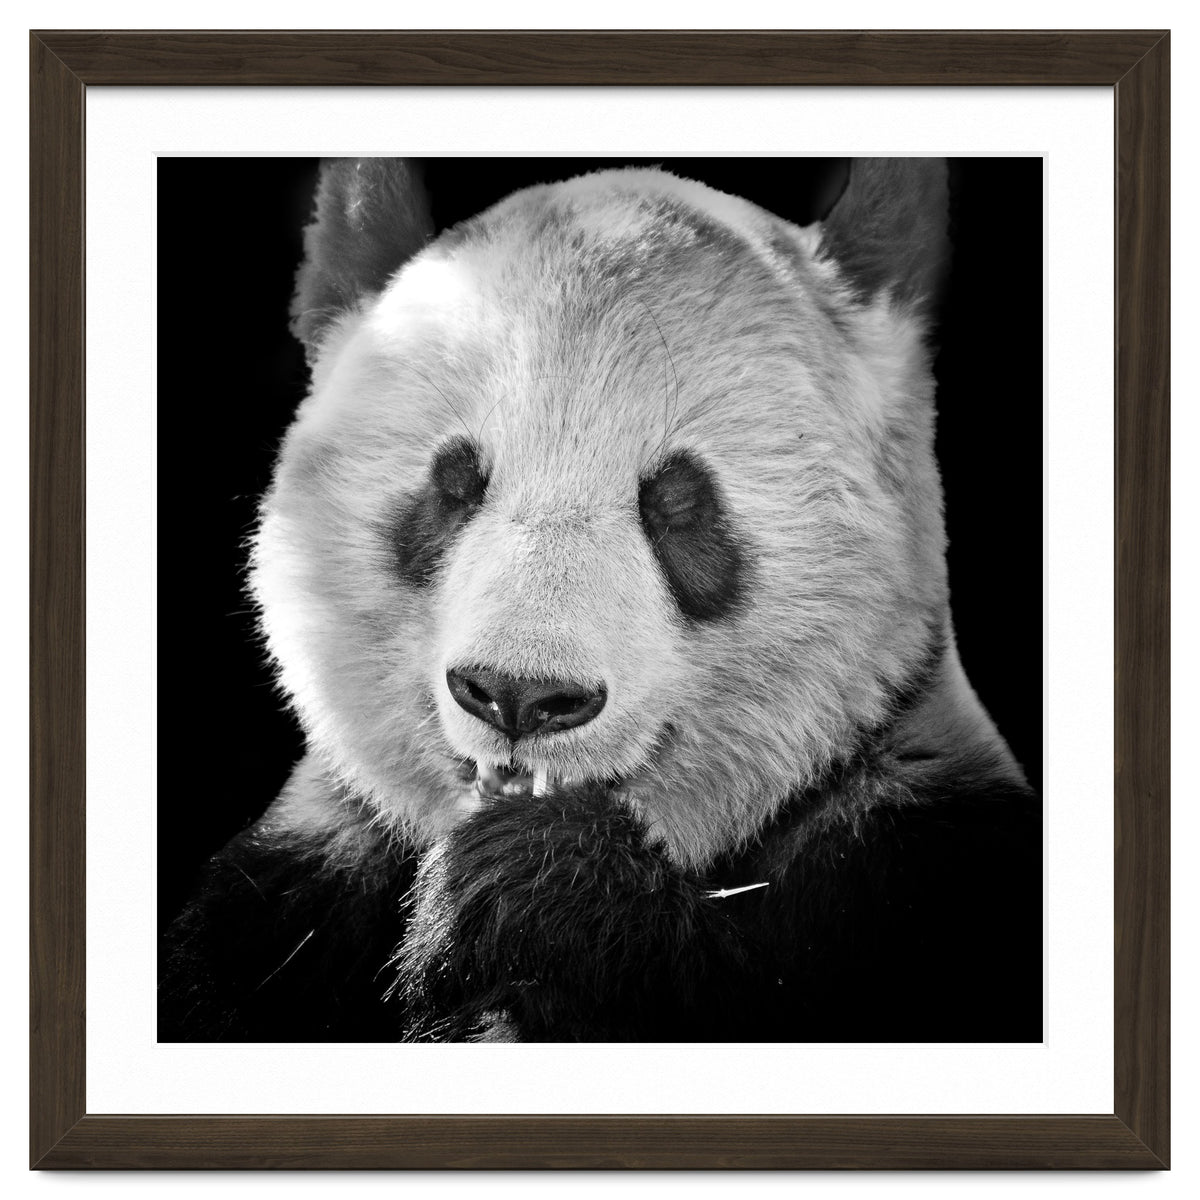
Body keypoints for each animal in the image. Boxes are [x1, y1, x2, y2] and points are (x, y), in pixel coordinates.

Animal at [160, 158, 1041, 1043]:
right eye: (454, 485)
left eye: (678, 503)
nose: (519, 695)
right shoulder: (288, 896)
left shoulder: (914, 861)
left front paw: (536, 888)